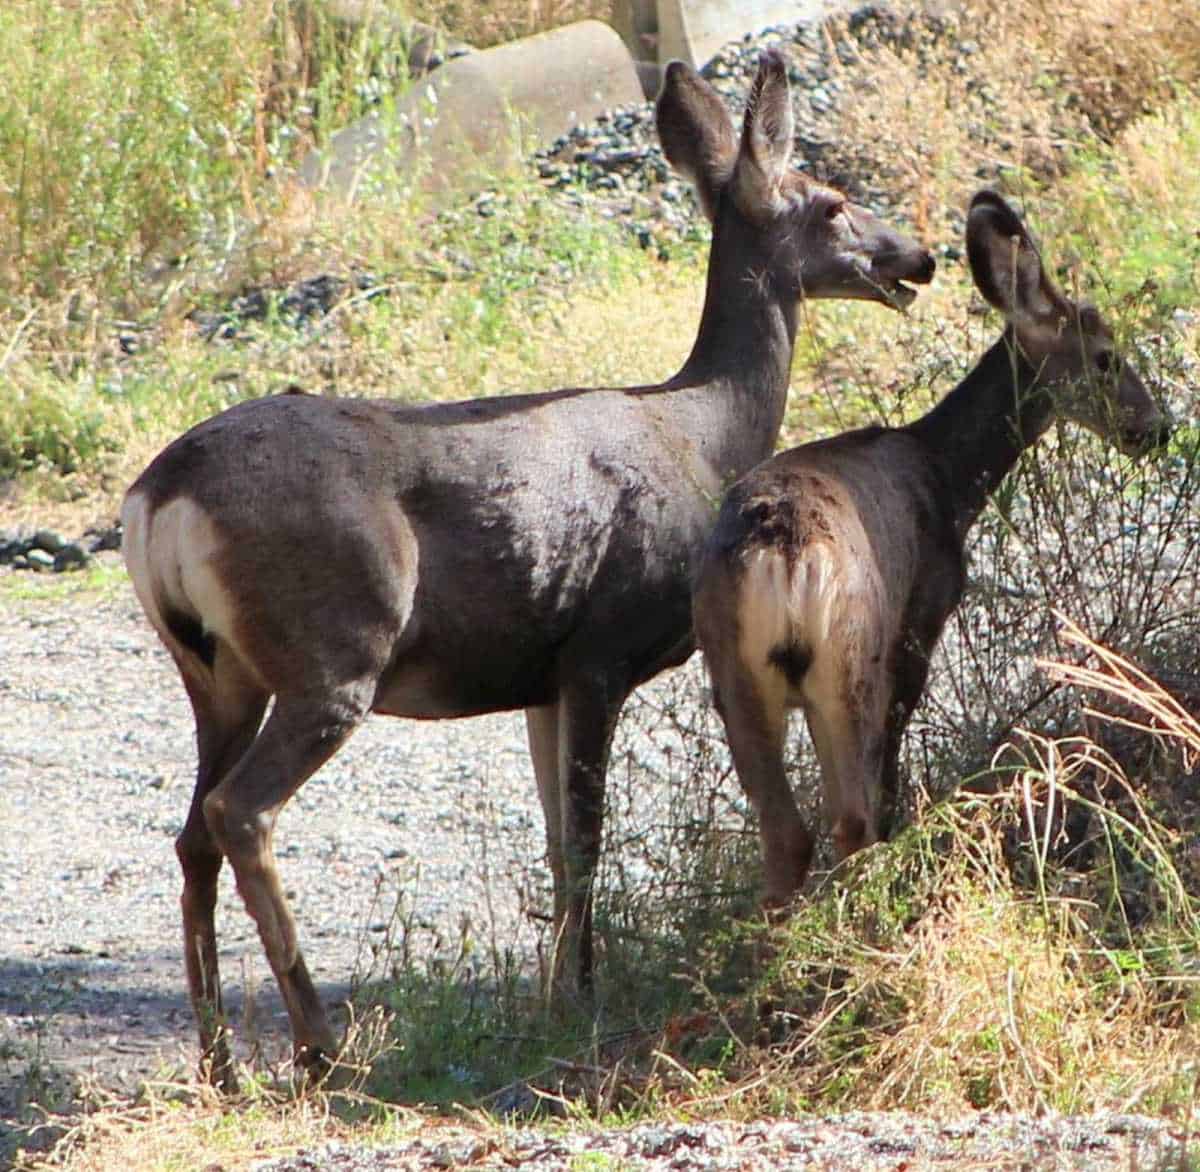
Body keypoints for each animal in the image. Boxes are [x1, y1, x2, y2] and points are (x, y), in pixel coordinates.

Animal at [120, 50, 935, 1089]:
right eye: (832, 203)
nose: (918, 256)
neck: (702, 433)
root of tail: (159, 498)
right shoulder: (598, 649)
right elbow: (585, 839)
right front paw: (579, 998)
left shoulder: (541, 680)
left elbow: (553, 841)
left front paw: (557, 990)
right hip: (332, 652)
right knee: (239, 813)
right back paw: (318, 1046)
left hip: (217, 673)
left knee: (191, 832)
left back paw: (221, 1060)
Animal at [691, 189, 1171, 912]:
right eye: (1107, 356)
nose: (1158, 429)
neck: (944, 473)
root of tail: (783, 550)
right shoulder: (919, 622)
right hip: (850, 658)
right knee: (852, 816)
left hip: (733, 672)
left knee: (787, 836)